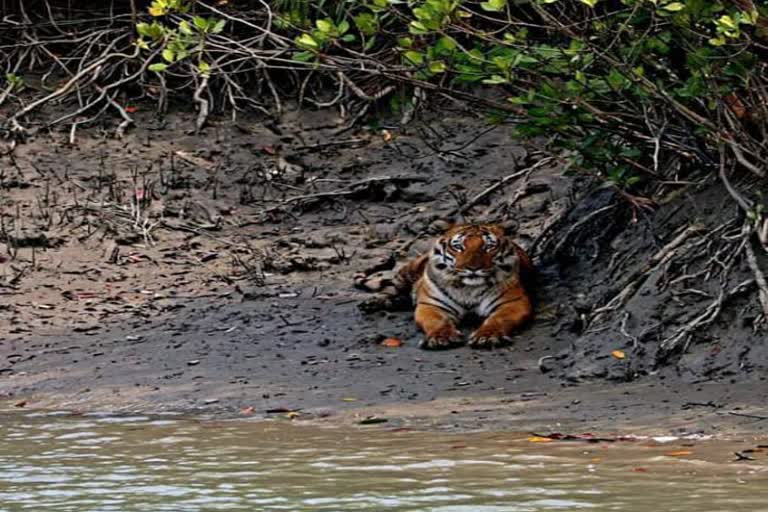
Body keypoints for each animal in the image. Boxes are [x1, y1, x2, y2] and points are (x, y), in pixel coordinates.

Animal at [376, 225, 532, 352]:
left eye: (488, 247)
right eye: (458, 247)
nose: (473, 268)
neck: (469, 289)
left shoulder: (512, 303)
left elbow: (497, 320)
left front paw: (487, 337)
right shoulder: (431, 305)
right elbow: (437, 321)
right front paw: (441, 338)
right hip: (407, 272)